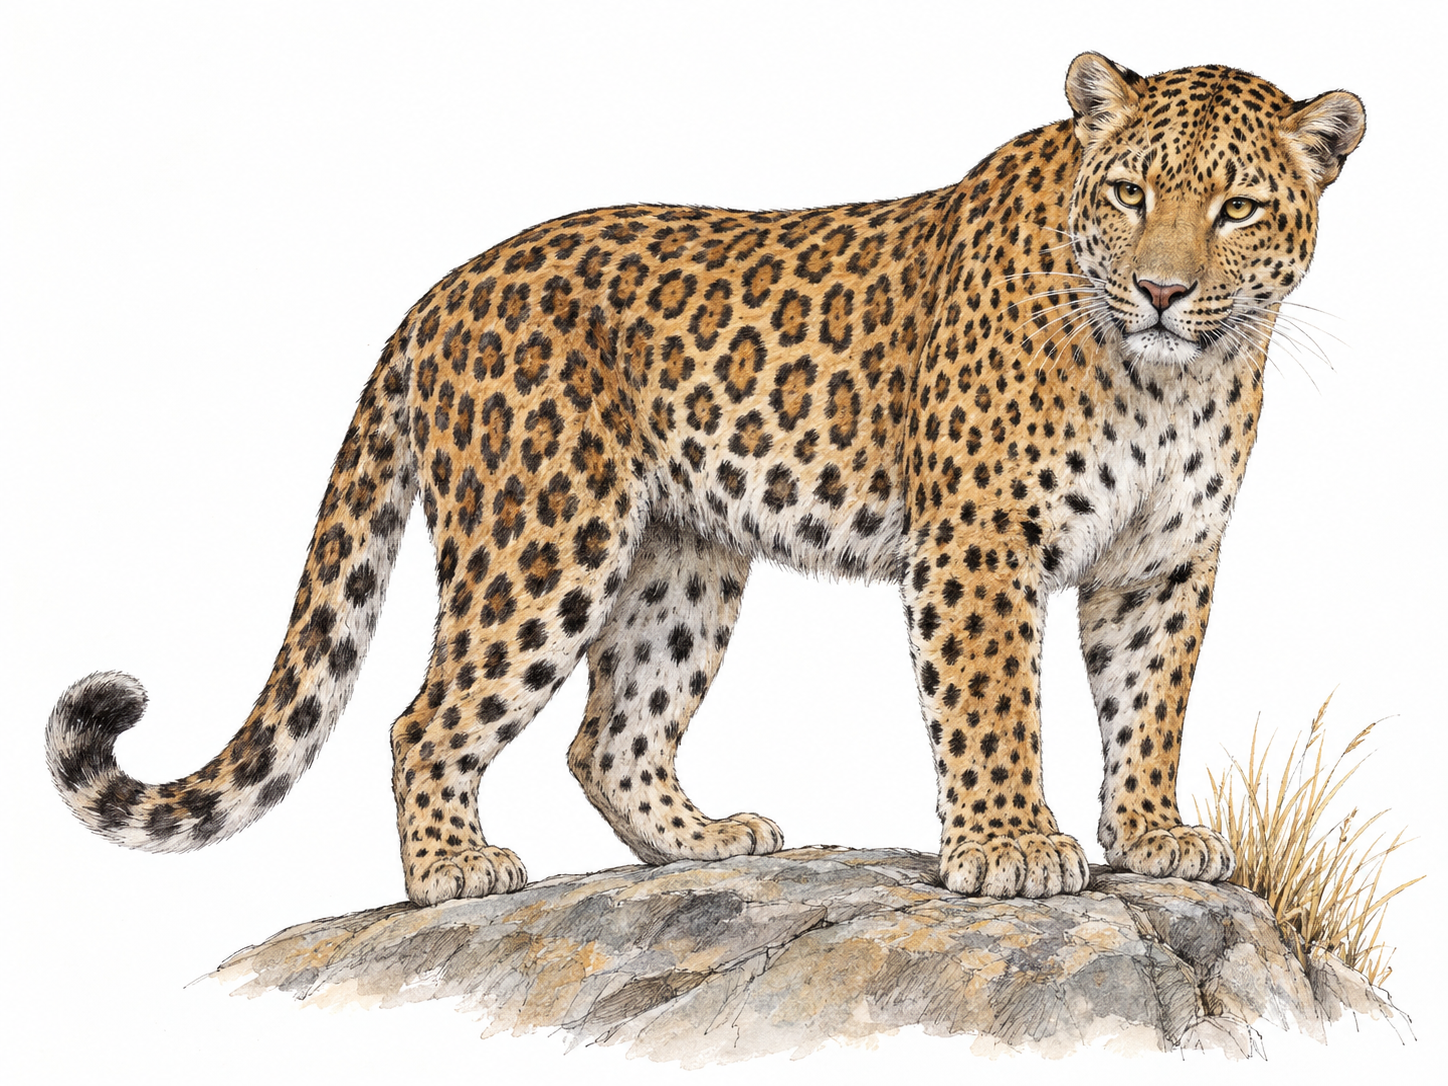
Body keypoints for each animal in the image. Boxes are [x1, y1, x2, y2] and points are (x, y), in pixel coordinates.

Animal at [48, 54, 1364, 905]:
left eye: (1238, 207)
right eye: (1129, 193)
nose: (1158, 290)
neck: (1168, 380)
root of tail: (439, 293)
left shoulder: (1160, 563)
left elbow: (1147, 702)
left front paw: (1148, 836)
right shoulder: (979, 543)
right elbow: (992, 703)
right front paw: (1008, 847)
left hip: (680, 561)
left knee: (610, 735)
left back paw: (702, 842)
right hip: (544, 540)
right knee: (426, 718)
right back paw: (452, 875)